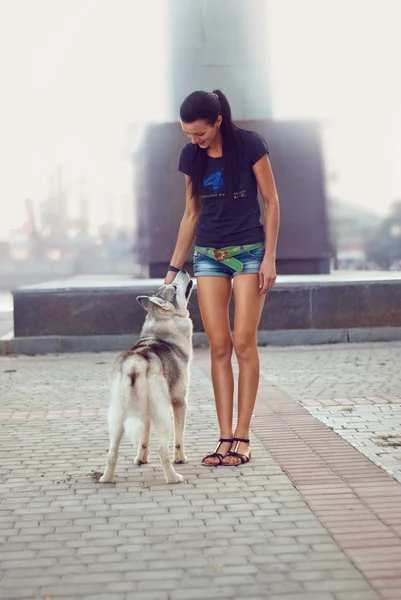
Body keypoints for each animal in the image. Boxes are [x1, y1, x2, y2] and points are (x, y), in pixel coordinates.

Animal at [100, 270, 194, 486]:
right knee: (162, 450)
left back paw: (106, 478)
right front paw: (181, 459)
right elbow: (180, 438)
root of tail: (135, 362)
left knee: (112, 452)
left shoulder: (146, 413)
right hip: (164, 417)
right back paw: (173, 478)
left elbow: (143, 439)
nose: (184, 270)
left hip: (117, 418)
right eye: (174, 287)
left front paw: (141, 459)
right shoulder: (180, 402)